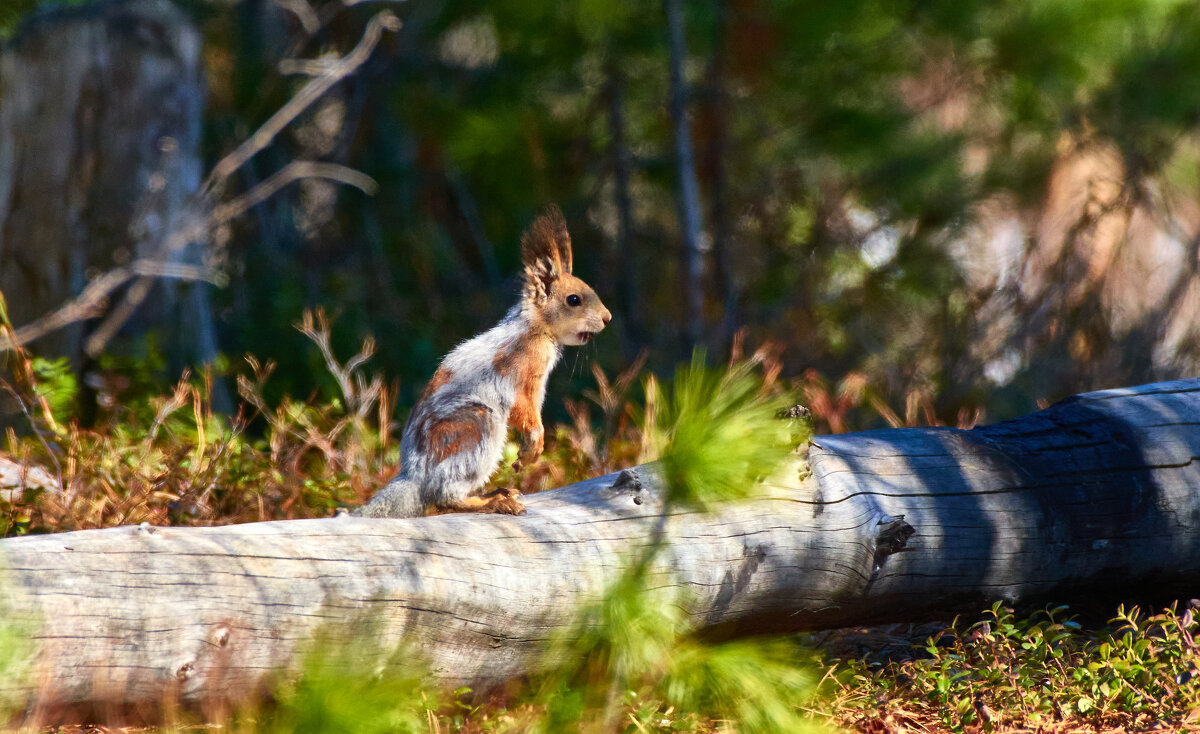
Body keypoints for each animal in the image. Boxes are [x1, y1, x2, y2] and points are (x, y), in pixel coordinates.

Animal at [350, 203, 604, 518]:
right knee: (445, 496)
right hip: (476, 431)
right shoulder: (521, 375)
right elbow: (526, 413)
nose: (607, 318)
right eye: (573, 299)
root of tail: (416, 476)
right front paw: (534, 447)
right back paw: (493, 501)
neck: (536, 329)